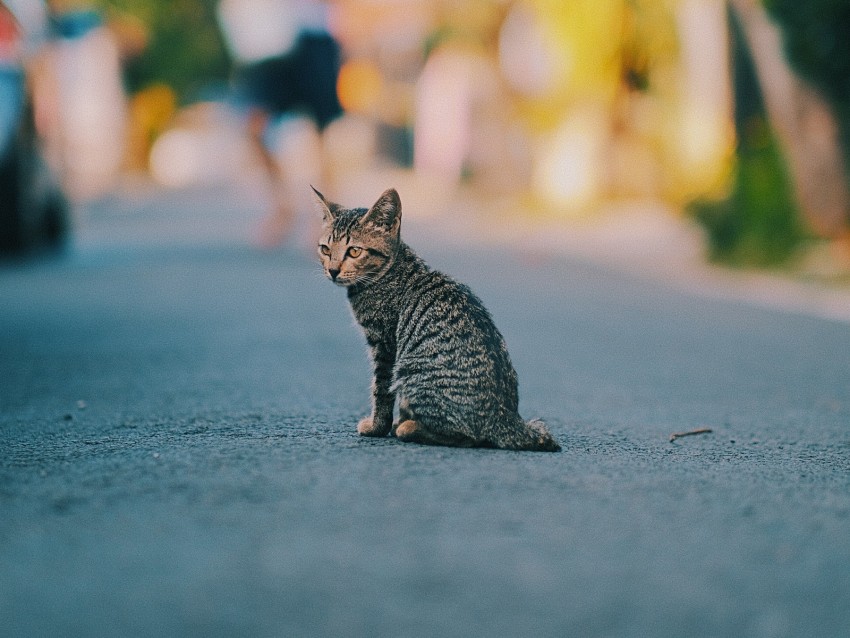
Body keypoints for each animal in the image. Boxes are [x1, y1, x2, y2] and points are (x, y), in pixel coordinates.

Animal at [314, 188, 560, 452]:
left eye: (354, 251)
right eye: (325, 249)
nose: (333, 270)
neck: (390, 270)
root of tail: (505, 416)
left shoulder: (385, 345)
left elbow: (381, 390)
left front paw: (377, 427)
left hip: (411, 369)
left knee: (468, 437)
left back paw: (409, 427)